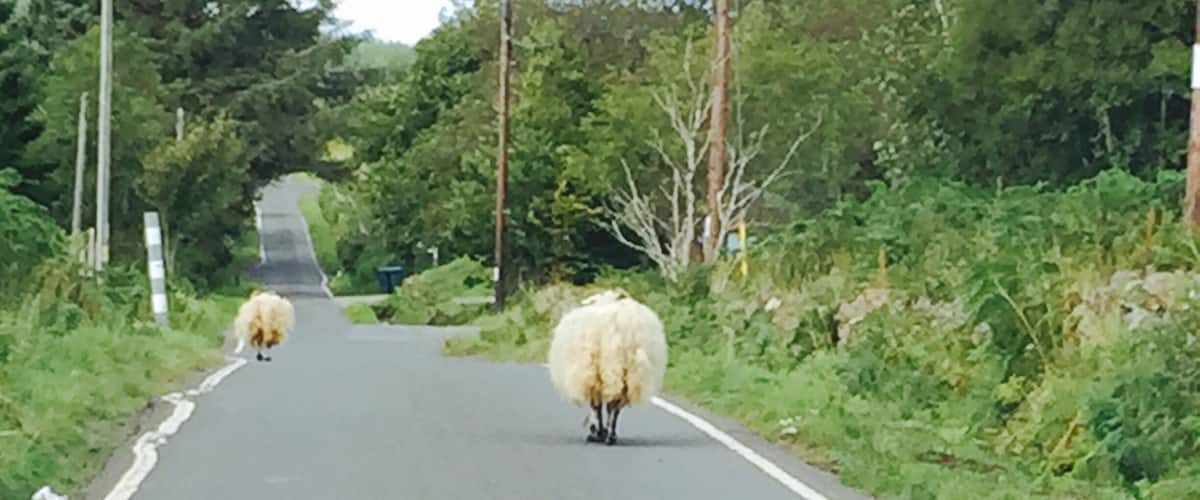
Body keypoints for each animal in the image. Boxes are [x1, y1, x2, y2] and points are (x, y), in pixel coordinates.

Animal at [547, 288, 668, 445]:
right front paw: (599, 432)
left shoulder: (590, 375)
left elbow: (595, 406)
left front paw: (595, 432)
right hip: (627, 371)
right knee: (615, 405)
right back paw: (611, 435)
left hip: (605, 368)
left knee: (607, 404)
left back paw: (606, 434)